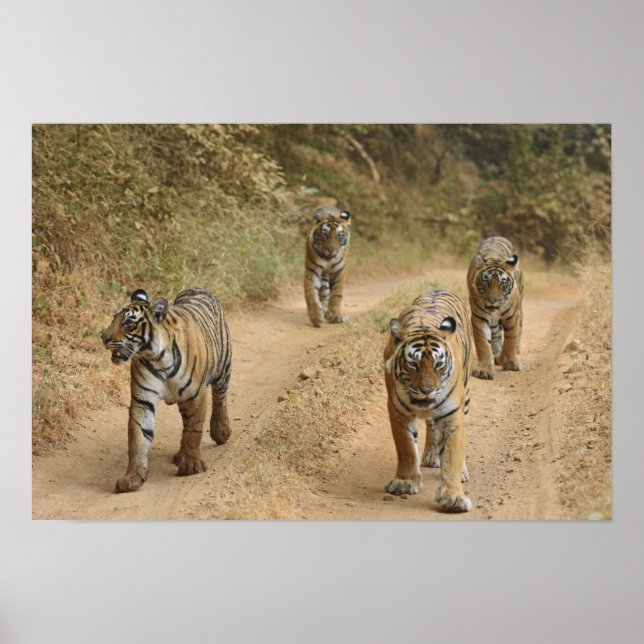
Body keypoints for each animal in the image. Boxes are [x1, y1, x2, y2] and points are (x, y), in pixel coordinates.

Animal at [101, 287, 232, 493]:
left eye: (128, 323)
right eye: (114, 318)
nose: (104, 338)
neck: (157, 357)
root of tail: (197, 288)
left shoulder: (195, 395)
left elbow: (194, 431)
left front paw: (192, 466)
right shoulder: (143, 398)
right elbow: (138, 438)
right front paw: (132, 478)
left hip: (222, 369)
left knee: (220, 397)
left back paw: (221, 431)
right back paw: (180, 455)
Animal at [384, 289, 474, 512]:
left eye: (439, 364)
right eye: (413, 364)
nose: (427, 390)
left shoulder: (453, 415)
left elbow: (452, 454)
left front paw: (454, 497)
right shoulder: (398, 411)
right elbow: (406, 448)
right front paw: (405, 482)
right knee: (432, 427)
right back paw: (431, 456)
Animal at [467, 236, 524, 380]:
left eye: (502, 283)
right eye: (486, 282)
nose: (493, 301)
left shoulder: (512, 316)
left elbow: (511, 340)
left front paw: (511, 363)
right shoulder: (479, 318)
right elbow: (483, 345)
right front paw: (484, 370)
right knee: (496, 335)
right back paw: (497, 356)